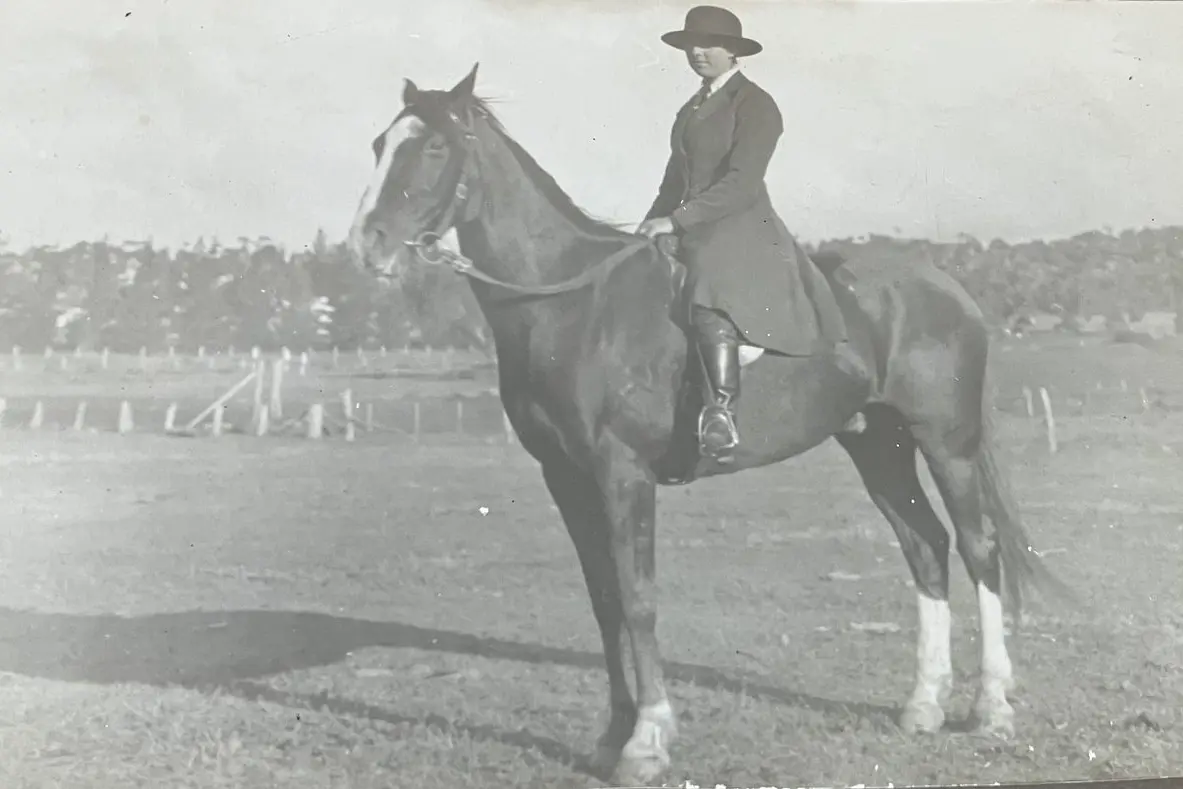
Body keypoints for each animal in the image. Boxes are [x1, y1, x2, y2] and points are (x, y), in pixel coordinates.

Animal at [347, 63, 1072, 786]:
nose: (367, 243)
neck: (572, 303)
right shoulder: (567, 477)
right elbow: (604, 598)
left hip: (946, 443)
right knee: (925, 545)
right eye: (379, 144)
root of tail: (946, 286)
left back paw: (990, 708)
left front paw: (647, 739)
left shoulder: (623, 472)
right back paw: (923, 704)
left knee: (978, 547)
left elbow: (637, 596)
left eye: (433, 147)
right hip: (879, 446)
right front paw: (612, 735)